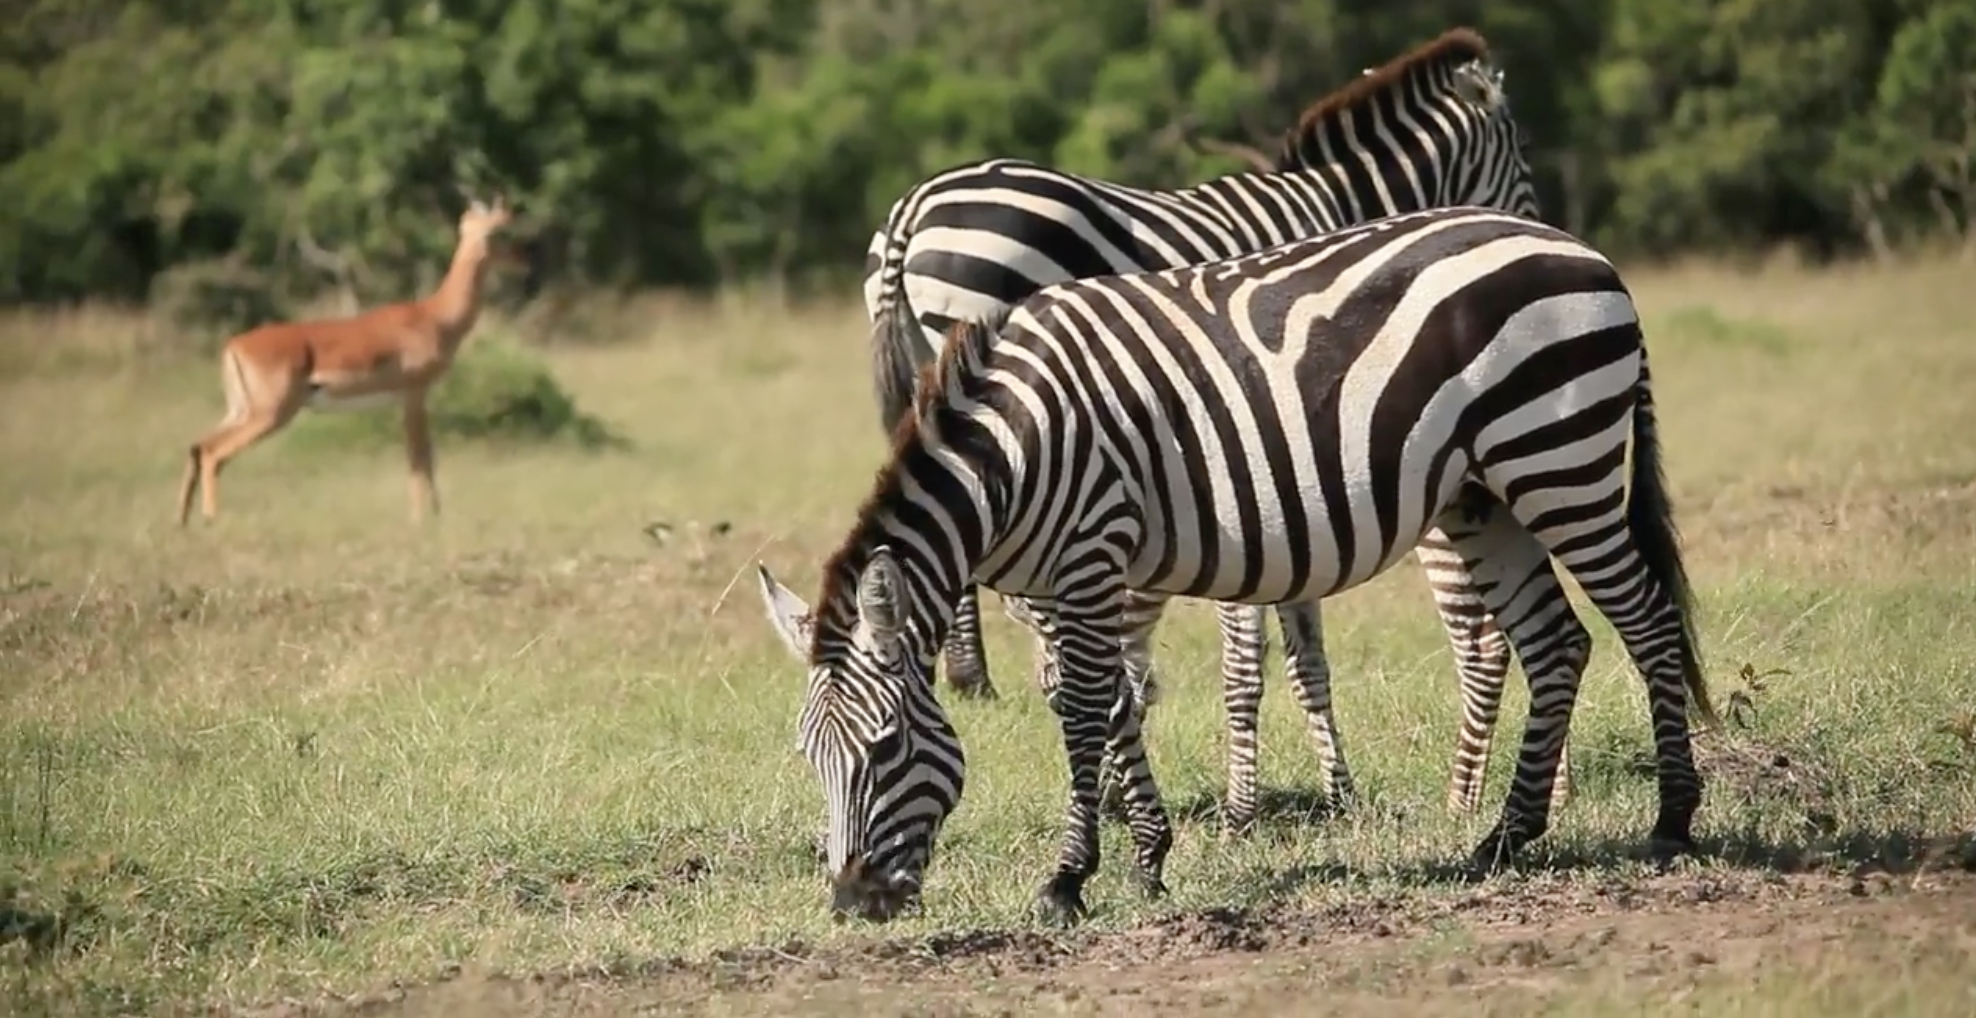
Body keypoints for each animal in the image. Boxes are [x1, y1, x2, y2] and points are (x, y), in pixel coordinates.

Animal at [756, 205, 1718, 924]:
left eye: (885, 748)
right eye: (809, 756)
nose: (852, 904)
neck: (1016, 454)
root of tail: (1579, 249)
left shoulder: (1093, 554)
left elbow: (1084, 711)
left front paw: (1068, 880)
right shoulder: (1065, 584)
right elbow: (1112, 704)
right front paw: (1148, 858)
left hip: (1559, 457)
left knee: (1645, 620)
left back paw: (1672, 821)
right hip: (1486, 496)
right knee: (1558, 644)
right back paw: (1506, 841)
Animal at [856, 27, 1556, 827]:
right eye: (1523, 153)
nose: (1546, 232)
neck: (1341, 203)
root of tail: (913, 207)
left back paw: (972, 675)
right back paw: (981, 677)